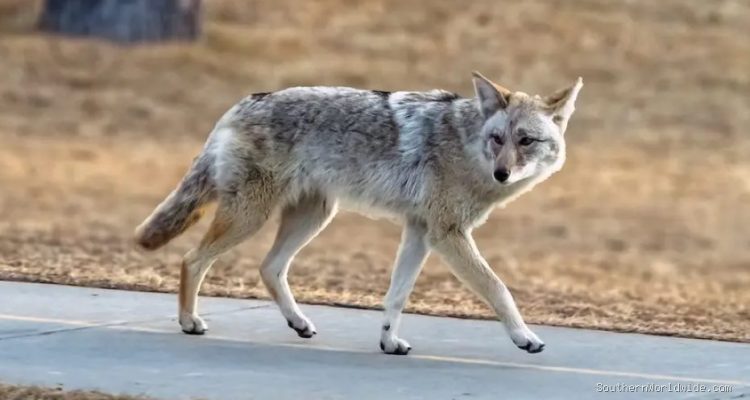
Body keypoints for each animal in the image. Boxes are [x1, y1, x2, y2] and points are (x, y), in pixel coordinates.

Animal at [135, 72, 583, 355]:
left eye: (525, 141)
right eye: (498, 139)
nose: (501, 173)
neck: (466, 145)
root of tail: (244, 101)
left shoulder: (420, 232)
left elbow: (396, 297)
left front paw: (388, 343)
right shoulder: (447, 234)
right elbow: (498, 288)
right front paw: (525, 337)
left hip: (313, 217)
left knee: (268, 267)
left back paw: (299, 323)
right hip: (252, 217)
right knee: (192, 259)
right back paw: (189, 321)